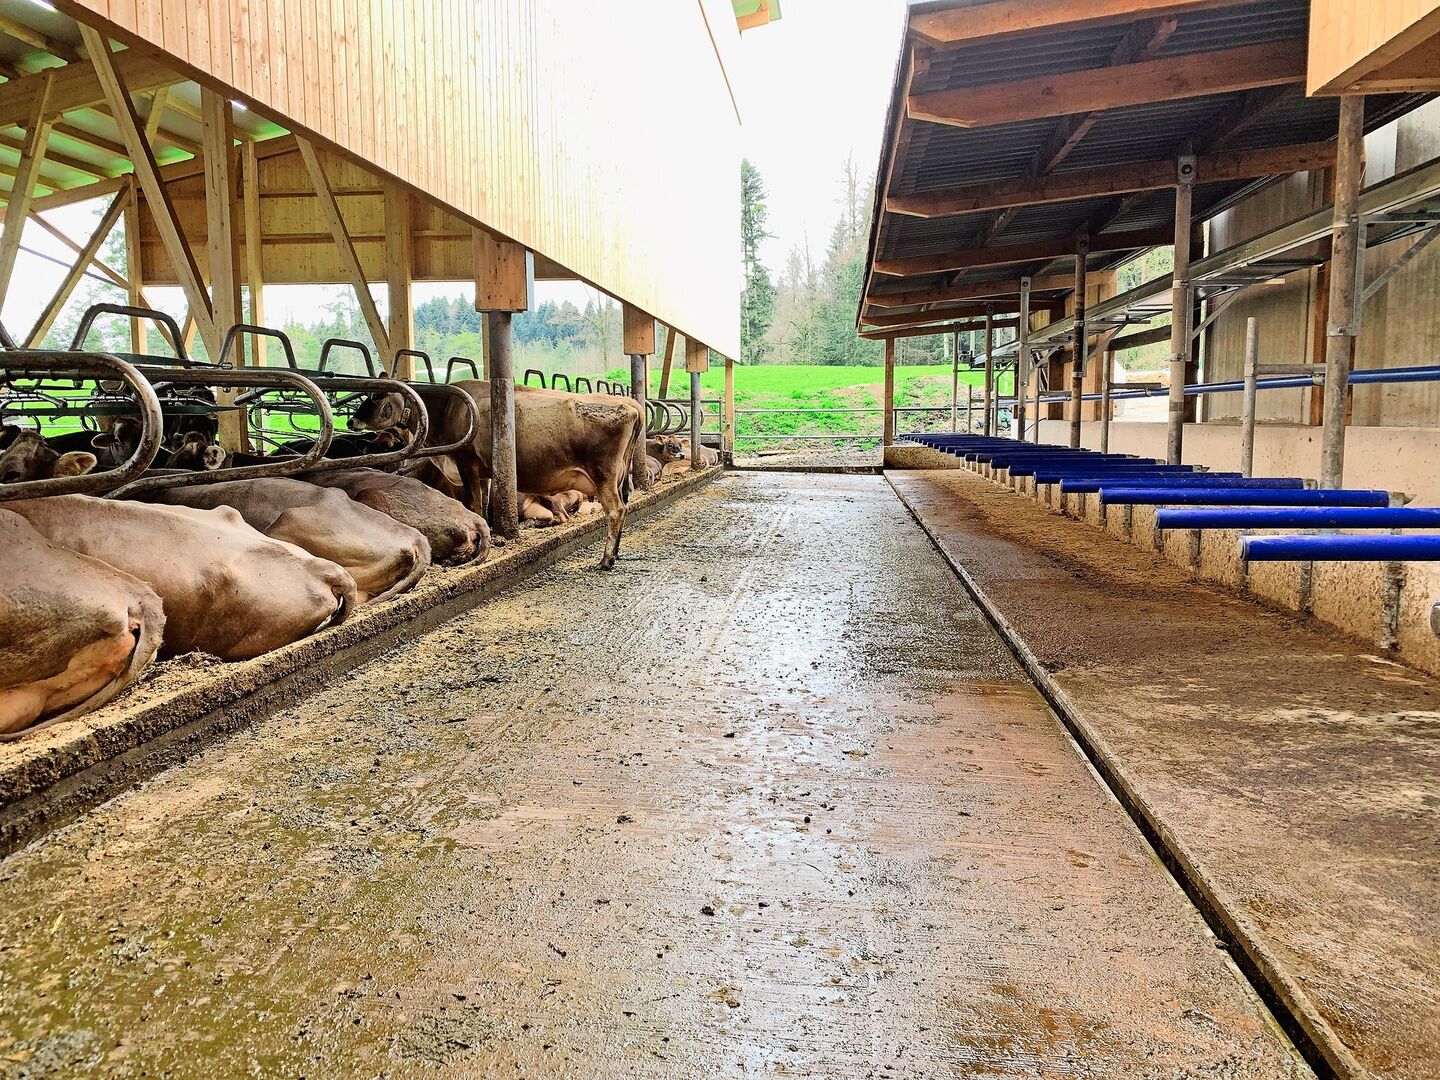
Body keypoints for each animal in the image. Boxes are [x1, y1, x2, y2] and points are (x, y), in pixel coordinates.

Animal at [352, 381, 643, 570]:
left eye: (376, 396)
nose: (352, 421)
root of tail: (630, 404)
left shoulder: (466, 462)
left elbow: (473, 503)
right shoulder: (484, 472)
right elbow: (484, 504)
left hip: (604, 475)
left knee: (616, 510)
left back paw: (606, 560)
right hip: (617, 477)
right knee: (623, 508)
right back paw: (615, 554)